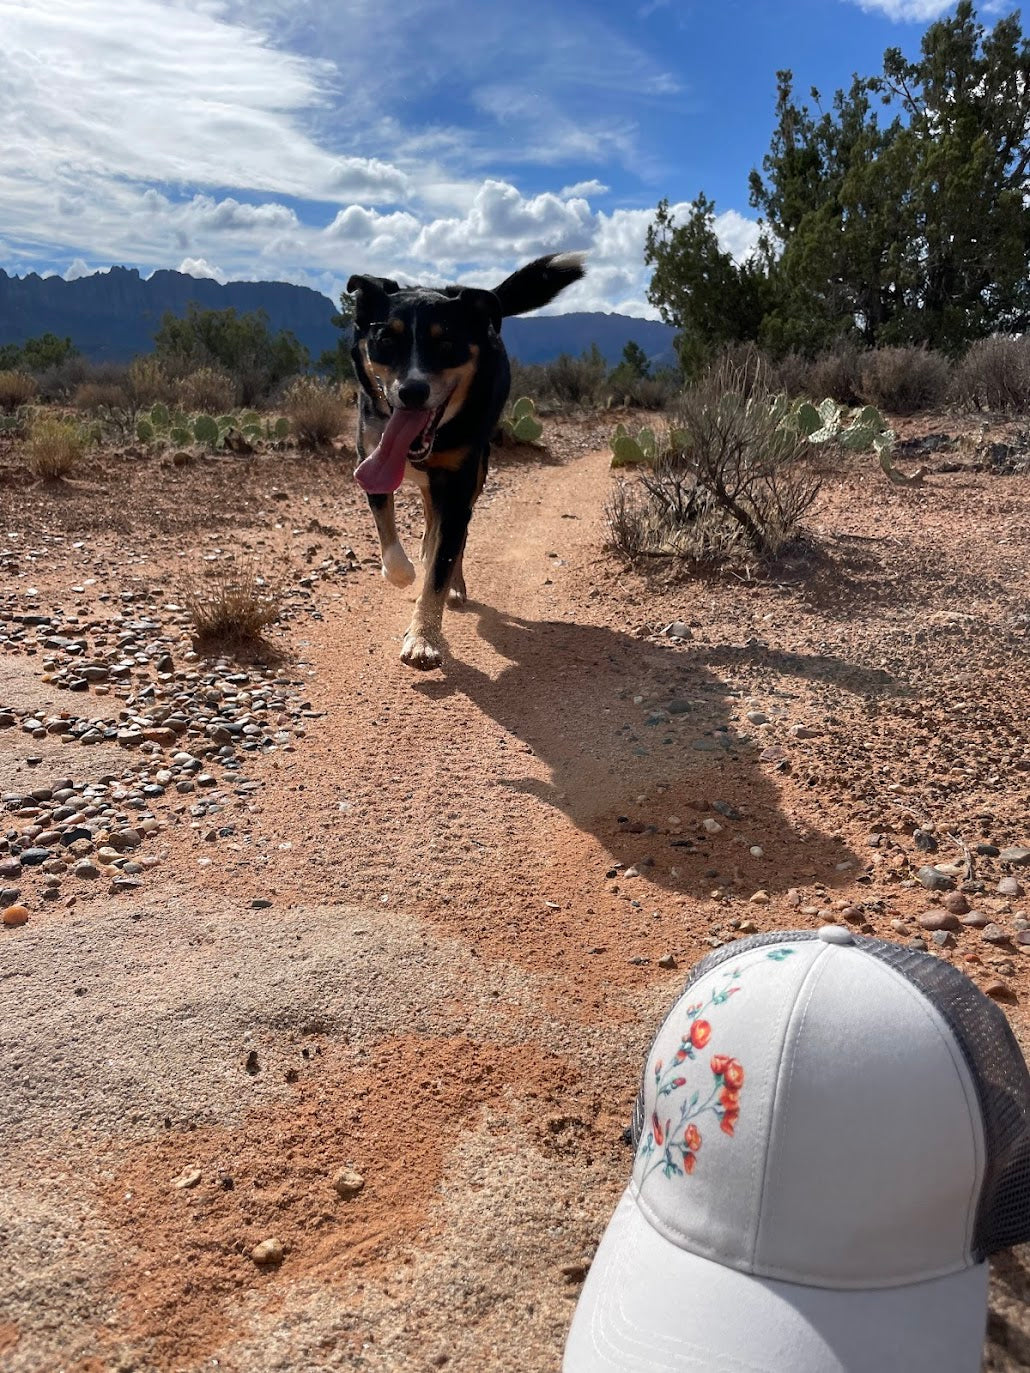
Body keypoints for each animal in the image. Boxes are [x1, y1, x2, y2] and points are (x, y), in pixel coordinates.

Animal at [348, 255, 585, 672]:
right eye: (385, 341)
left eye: (446, 344)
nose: (412, 391)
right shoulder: (371, 455)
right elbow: (389, 532)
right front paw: (402, 572)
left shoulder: (459, 485)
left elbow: (441, 566)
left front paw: (423, 637)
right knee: (431, 518)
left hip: (477, 474)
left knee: (453, 538)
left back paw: (453, 581)